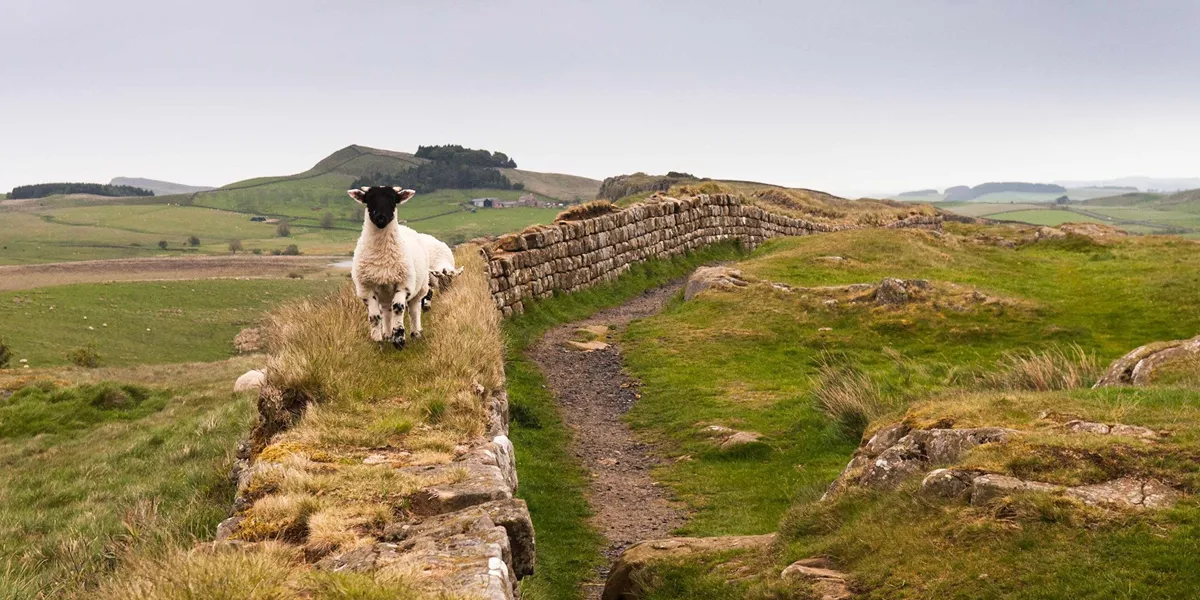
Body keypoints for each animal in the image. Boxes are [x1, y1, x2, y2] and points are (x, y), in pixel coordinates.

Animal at [348, 186, 431, 349]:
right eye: (369, 200)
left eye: (393, 200)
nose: (381, 218)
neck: (382, 257)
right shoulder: (366, 288)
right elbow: (374, 317)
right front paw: (378, 342)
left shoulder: (404, 284)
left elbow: (398, 308)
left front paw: (399, 340)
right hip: (385, 293)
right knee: (387, 311)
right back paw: (387, 335)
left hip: (419, 287)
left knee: (413, 309)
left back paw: (415, 333)